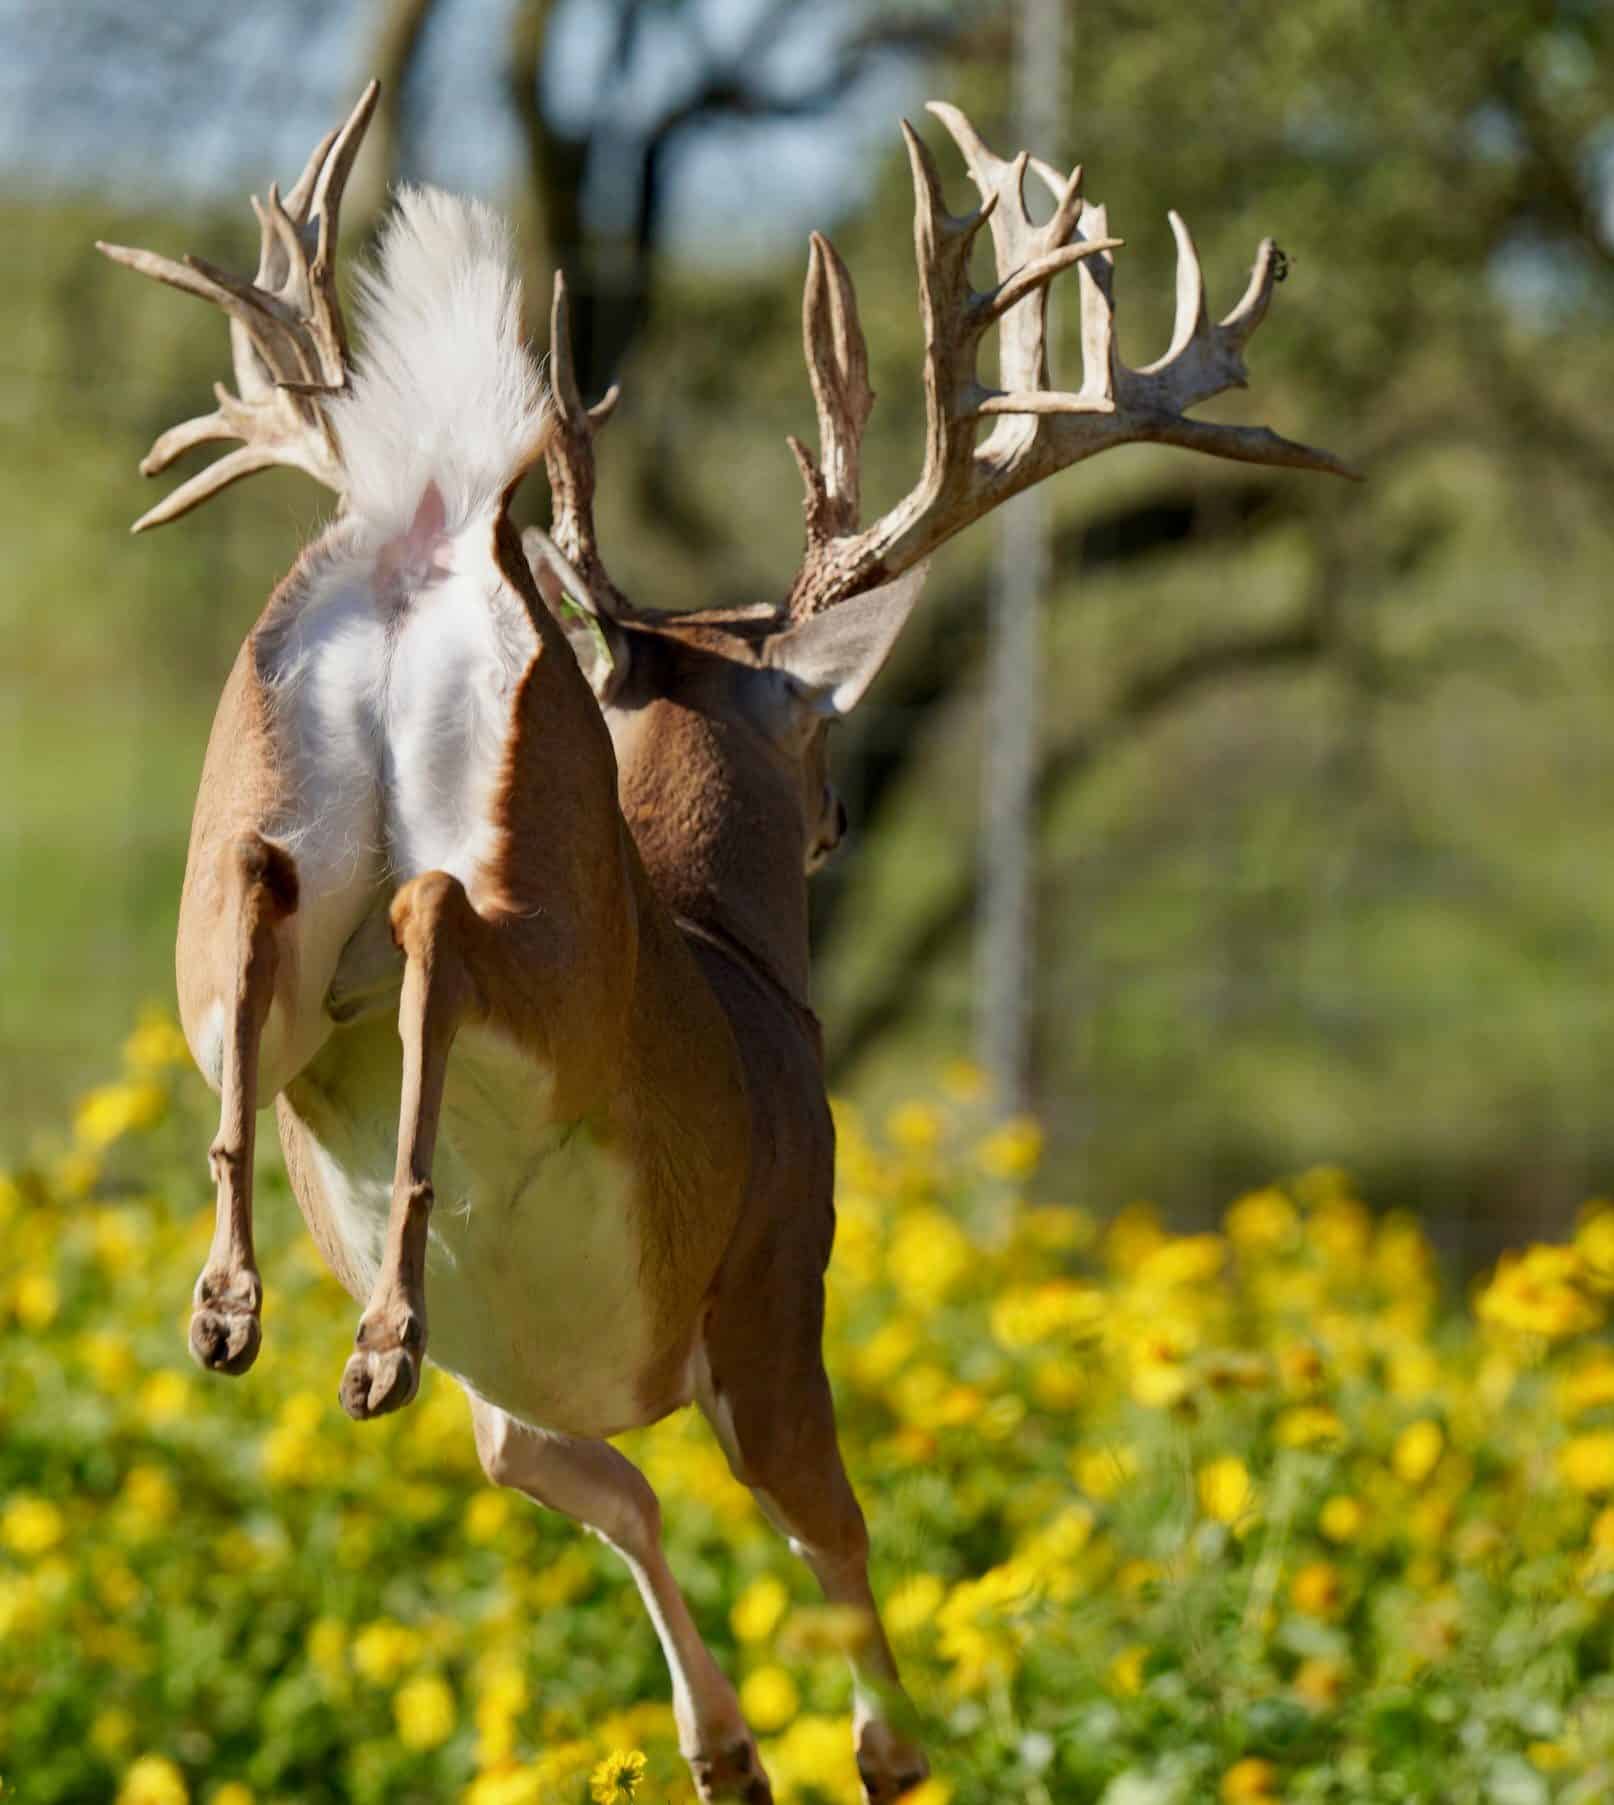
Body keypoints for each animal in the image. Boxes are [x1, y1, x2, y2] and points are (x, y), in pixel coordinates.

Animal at [97, 79, 1352, 1804]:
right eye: (821, 737)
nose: (834, 817)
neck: (737, 956)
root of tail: (434, 530)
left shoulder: (522, 1408)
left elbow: (608, 1490)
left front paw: (729, 1752)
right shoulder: (772, 1289)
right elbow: (842, 1568)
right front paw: (867, 1746)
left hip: (240, 855)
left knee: (265, 901)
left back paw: (243, 1303)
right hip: (551, 950)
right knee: (437, 922)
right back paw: (375, 1323)